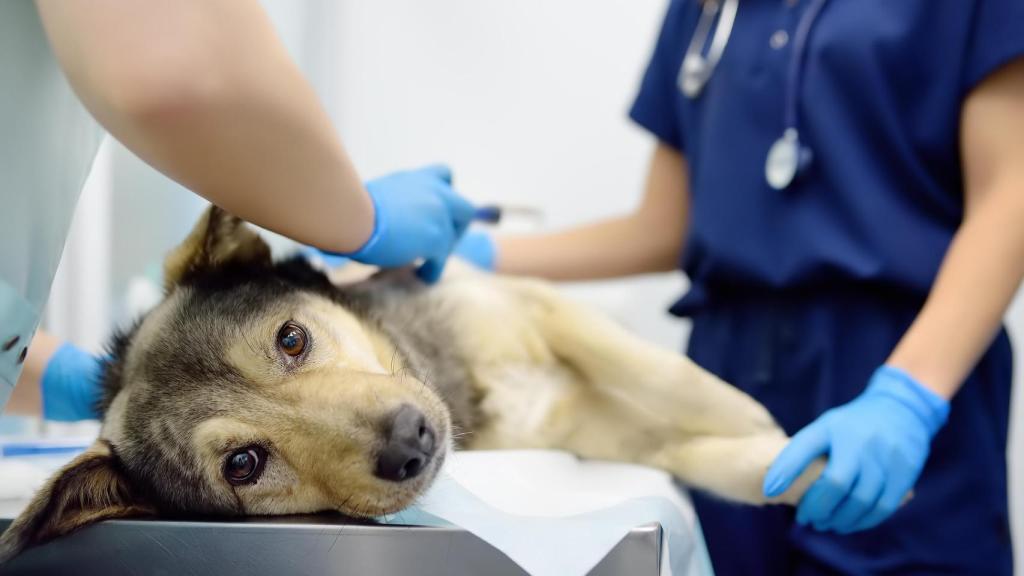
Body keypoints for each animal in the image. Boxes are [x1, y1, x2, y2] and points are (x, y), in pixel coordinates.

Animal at [0, 206, 823, 561]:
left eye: (292, 339)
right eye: (244, 464)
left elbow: (664, 376)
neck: (457, 386)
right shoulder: (602, 430)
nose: (411, 442)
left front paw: (777, 428)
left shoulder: (538, 307)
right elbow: (718, 460)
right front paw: (802, 463)